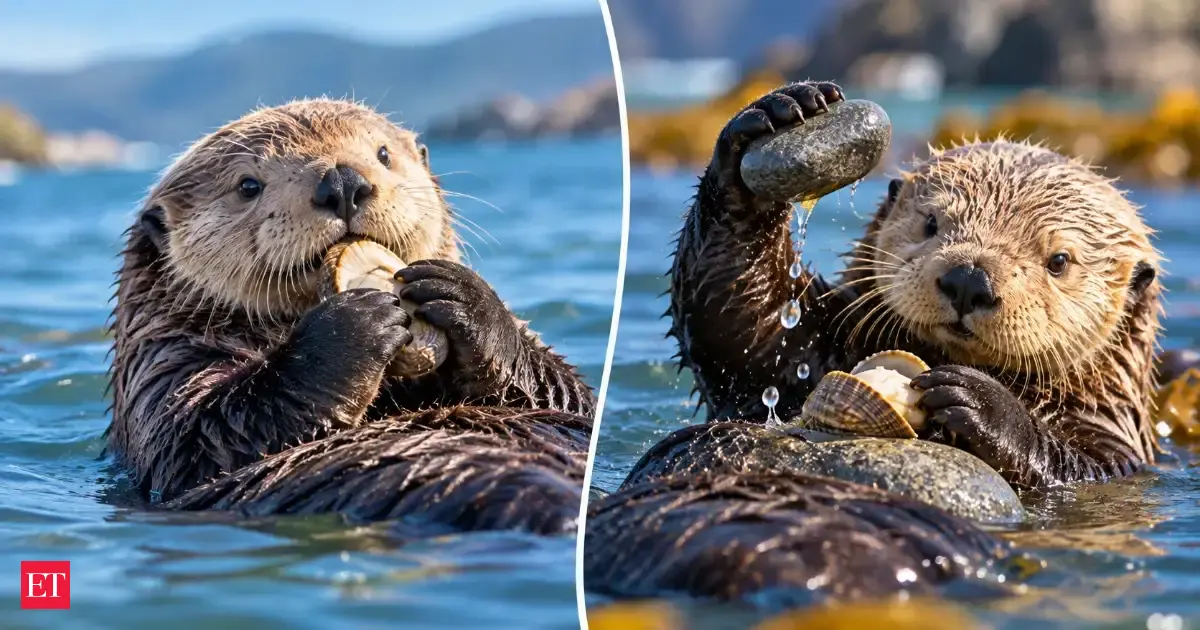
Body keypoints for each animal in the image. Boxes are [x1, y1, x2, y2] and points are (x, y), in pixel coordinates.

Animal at [106, 98, 595, 535]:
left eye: (383, 154)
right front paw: (354, 322)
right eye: (247, 186)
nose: (342, 181)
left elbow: (569, 396)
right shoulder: (165, 366)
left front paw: (464, 298)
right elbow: (197, 438)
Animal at [584, 82, 1162, 603]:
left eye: (1059, 261)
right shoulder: (812, 349)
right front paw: (782, 111)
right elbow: (742, 330)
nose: (969, 279)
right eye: (931, 223)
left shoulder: (1114, 447)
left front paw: (978, 401)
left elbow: (1080, 467)